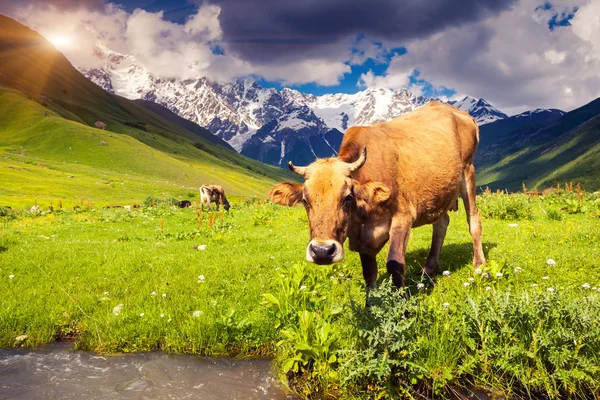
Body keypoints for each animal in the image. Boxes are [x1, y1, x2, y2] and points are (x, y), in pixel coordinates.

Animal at [270, 101, 486, 290]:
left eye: (347, 197)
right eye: (305, 200)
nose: (322, 252)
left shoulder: (403, 218)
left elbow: (394, 264)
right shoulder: (362, 237)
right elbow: (369, 274)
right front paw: (370, 305)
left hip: (468, 172)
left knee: (473, 220)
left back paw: (479, 265)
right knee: (441, 223)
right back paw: (429, 268)